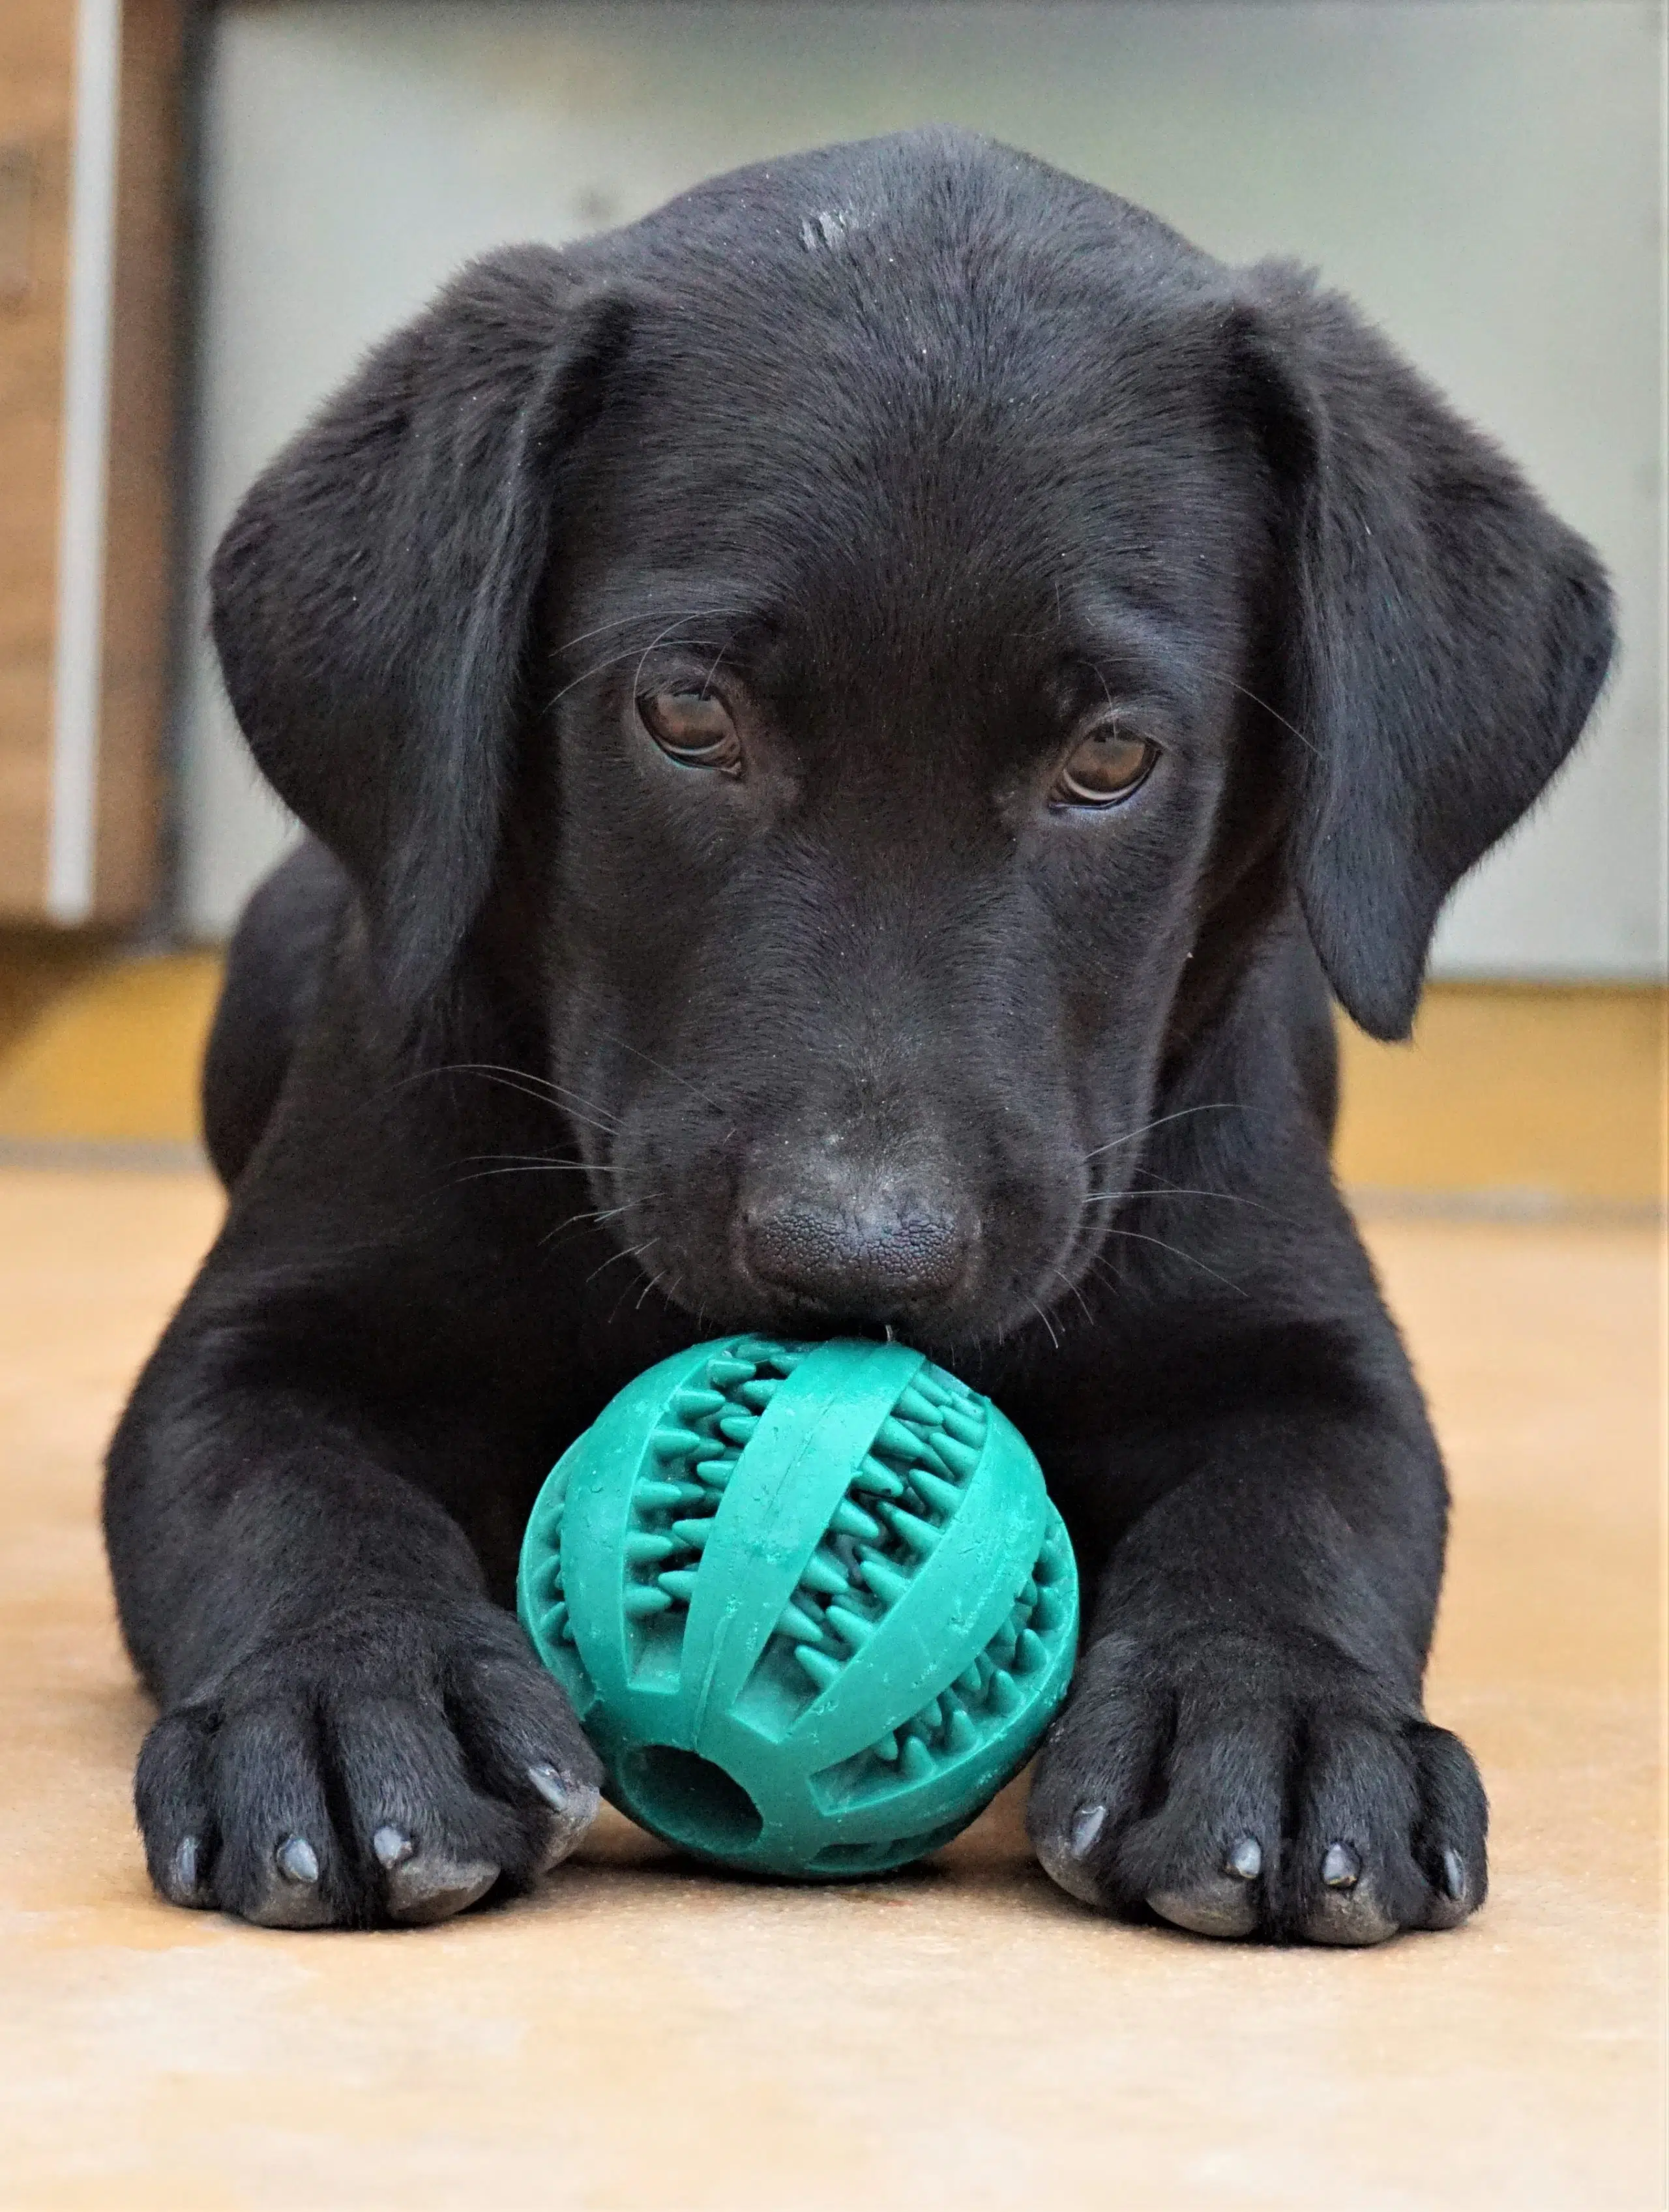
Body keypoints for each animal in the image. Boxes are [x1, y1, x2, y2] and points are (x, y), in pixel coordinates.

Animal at [100, 134, 1603, 1938]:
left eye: (1110, 756)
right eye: (685, 713)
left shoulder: (1300, 1341)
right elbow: (274, 1485)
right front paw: (353, 1692)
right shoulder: (254, 1333)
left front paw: (1278, 1719)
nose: (857, 1256)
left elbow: (1301, 1509)